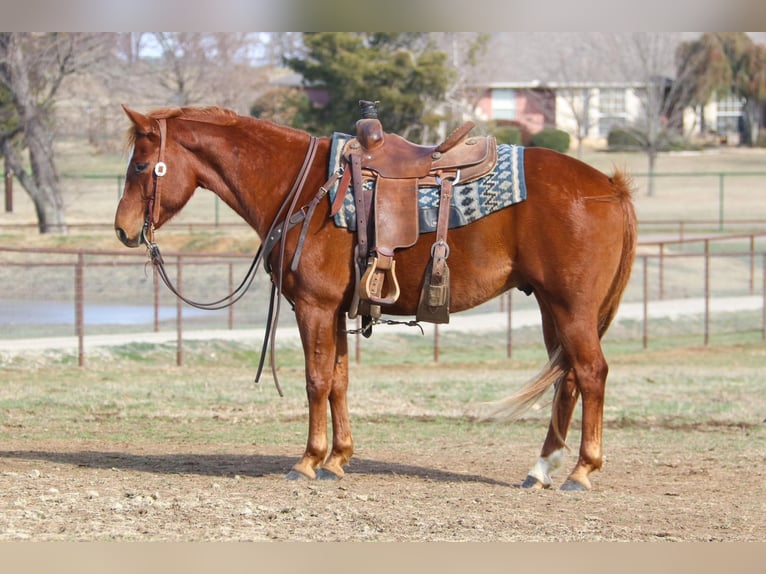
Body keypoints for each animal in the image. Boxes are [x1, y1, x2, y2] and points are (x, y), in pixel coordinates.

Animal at [114, 106, 640, 492]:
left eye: (140, 165)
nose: (122, 230)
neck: (302, 186)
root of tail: (609, 187)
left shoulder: (314, 307)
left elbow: (316, 382)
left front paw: (307, 461)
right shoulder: (335, 310)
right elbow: (339, 382)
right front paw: (337, 459)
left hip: (572, 309)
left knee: (590, 373)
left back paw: (581, 471)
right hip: (554, 308)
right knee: (567, 379)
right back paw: (541, 469)